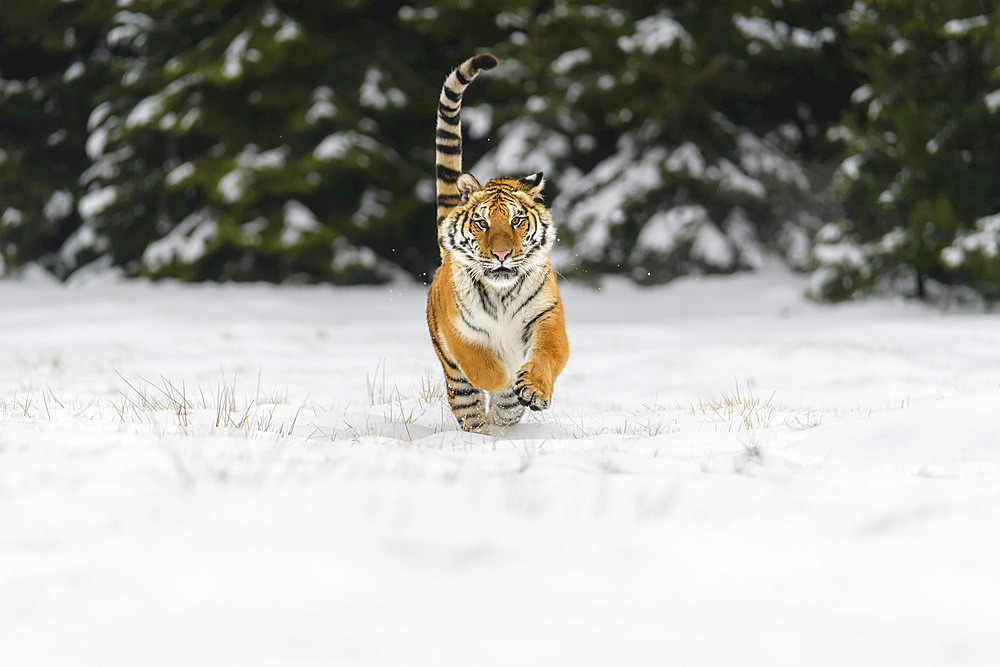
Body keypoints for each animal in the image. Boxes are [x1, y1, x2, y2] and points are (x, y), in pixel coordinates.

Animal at [426, 54, 572, 436]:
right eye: (482, 223)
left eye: (517, 220)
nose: (502, 254)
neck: (502, 293)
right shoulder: (458, 330)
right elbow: (483, 366)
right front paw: (504, 377)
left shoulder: (547, 316)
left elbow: (547, 354)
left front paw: (533, 388)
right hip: (456, 382)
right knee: (472, 411)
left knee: (504, 412)